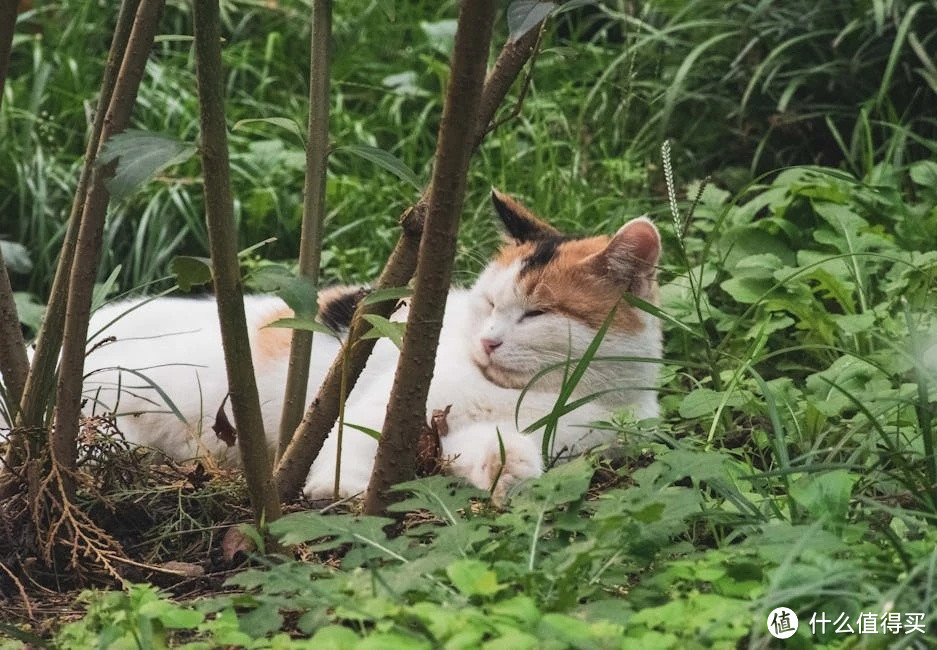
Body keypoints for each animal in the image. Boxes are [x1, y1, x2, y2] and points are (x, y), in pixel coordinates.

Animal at [34, 190, 660, 498]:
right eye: (488, 303)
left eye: (535, 313)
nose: (487, 341)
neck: (532, 398)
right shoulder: (382, 405)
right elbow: (360, 448)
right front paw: (341, 488)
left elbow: (496, 450)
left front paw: (505, 470)